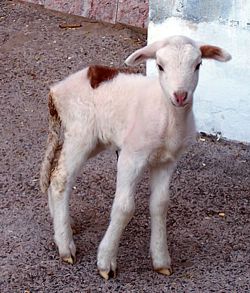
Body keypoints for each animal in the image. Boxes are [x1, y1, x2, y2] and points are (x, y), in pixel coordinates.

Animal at [39, 34, 232, 278]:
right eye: (160, 66)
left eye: (198, 65)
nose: (180, 96)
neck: (167, 116)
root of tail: (55, 91)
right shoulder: (131, 156)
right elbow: (124, 208)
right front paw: (106, 262)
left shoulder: (167, 161)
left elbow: (160, 204)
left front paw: (161, 260)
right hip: (81, 133)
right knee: (60, 179)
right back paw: (65, 245)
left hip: (95, 140)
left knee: (54, 169)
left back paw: (60, 224)